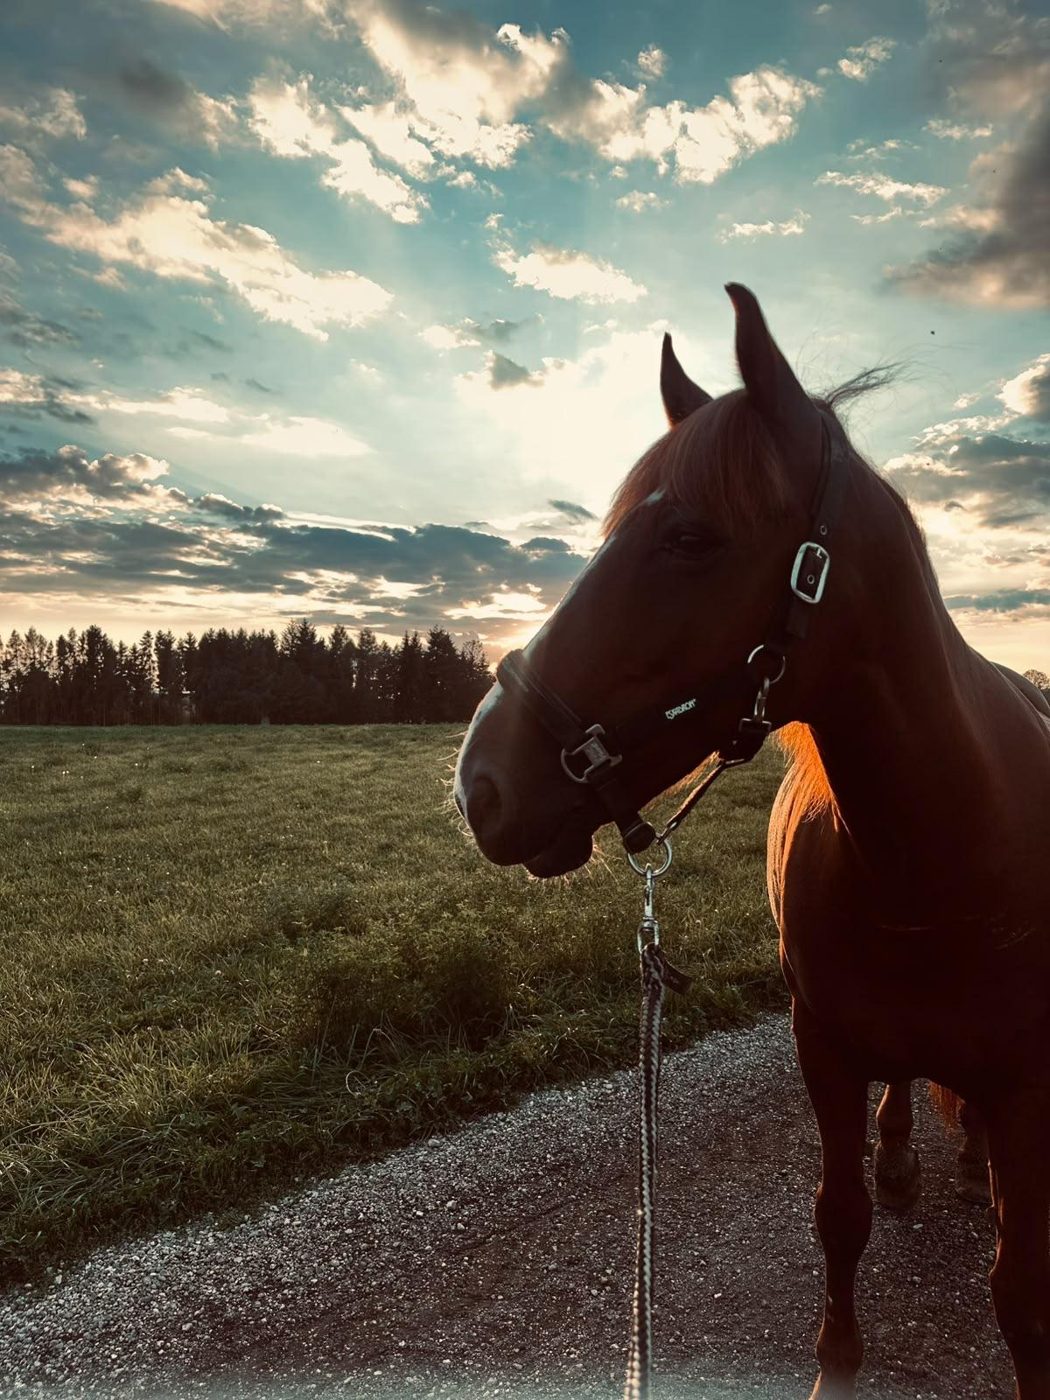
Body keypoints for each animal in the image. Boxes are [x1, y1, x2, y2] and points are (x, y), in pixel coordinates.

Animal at [453, 284, 1050, 1400]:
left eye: (690, 536)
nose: (481, 786)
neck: (947, 856)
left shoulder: (1028, 1082)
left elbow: (1020, 1287)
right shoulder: (823, 1043)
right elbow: (840, 1216)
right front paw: (838, 1364)